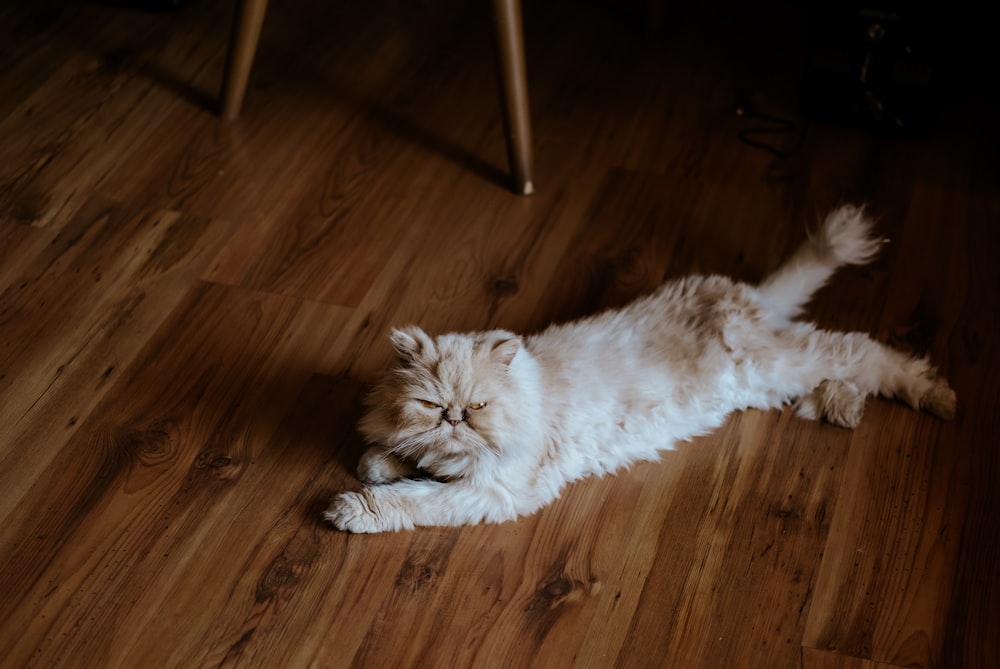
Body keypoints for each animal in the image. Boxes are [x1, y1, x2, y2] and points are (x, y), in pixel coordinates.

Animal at [324, 205, 956, 532]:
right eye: (434, 406)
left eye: (476, 408)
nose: (455, 420)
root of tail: (741, 293)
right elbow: (388, 456)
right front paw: (382, 462)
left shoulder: (494, 491)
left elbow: (410, 499)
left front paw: (350, 507)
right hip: (773, 380)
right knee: (840, 376)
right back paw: (845, 410)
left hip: (780, 363)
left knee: (868, 353)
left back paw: (939, 396)